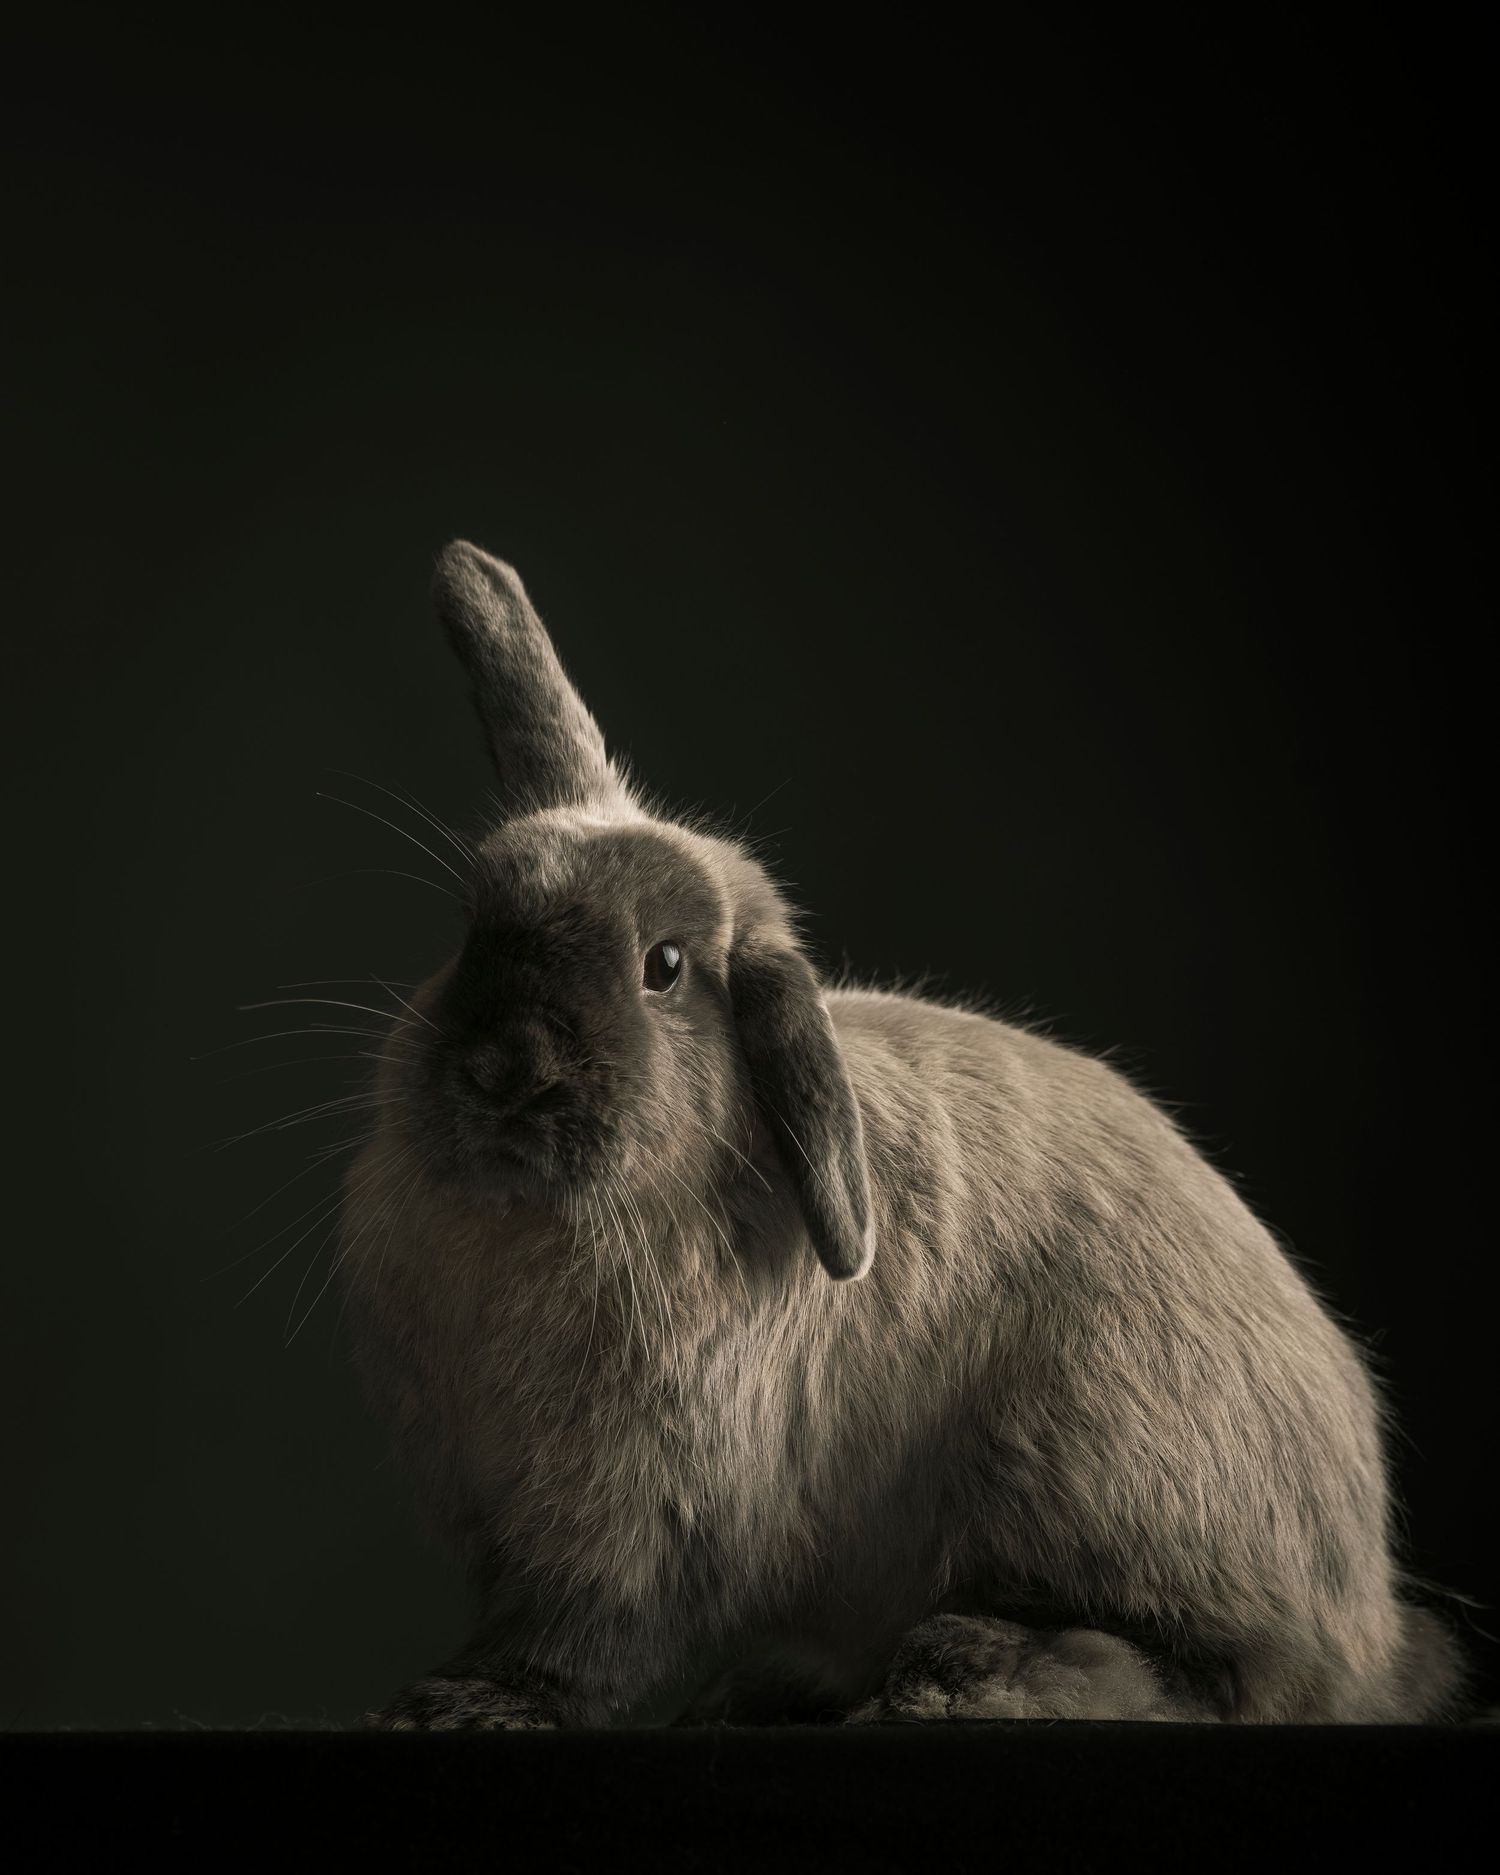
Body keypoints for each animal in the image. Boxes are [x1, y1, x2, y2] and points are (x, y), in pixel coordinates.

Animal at [341, 539, 1464, 1728]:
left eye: (664, 966)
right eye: (474, 927)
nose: (503, 1069)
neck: (528, 1220)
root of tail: (1369, 1613)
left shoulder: (645, 1513)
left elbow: (591, 1636)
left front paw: (469, 1702)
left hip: (1105, 1477)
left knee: (1211, 1674)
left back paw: (961, 1672)